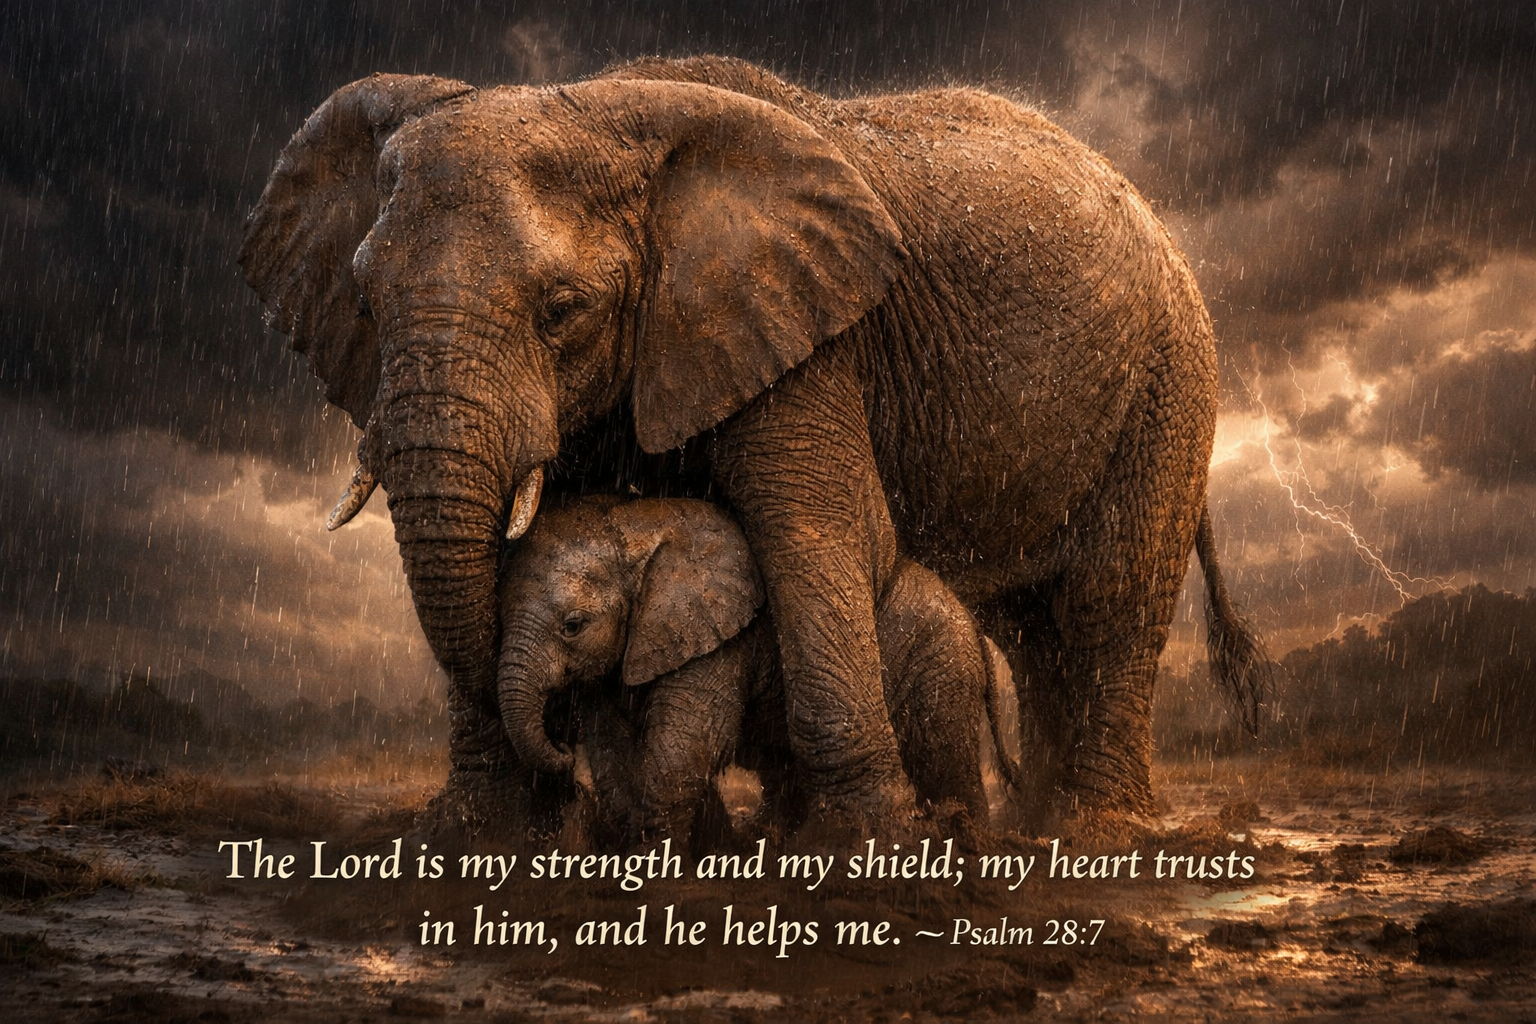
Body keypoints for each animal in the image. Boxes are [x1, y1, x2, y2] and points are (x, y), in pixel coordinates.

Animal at [494, 496, 1020, 848]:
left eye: (573, 626)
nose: (562, 749)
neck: (633, 526)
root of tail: (974, 626)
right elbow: (612, 751)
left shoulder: (723, 640)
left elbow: (678, 751)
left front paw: (656, 863)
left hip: (941, 663)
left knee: (943, 758)